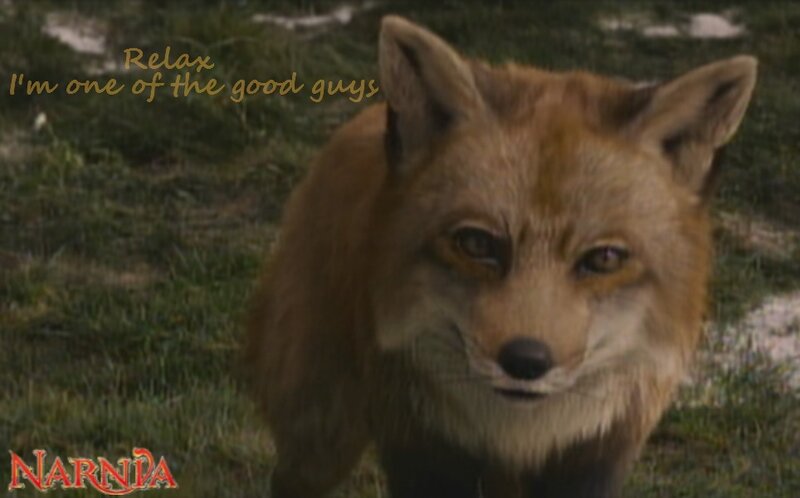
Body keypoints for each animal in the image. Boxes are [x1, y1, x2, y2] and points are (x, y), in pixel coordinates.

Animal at [245, 15, 757, 498]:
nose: (526, 361)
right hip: (319, 436)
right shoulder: (421, 450)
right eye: (477, 245)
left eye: (605, 259)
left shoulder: (595, 457)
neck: (518, 441)